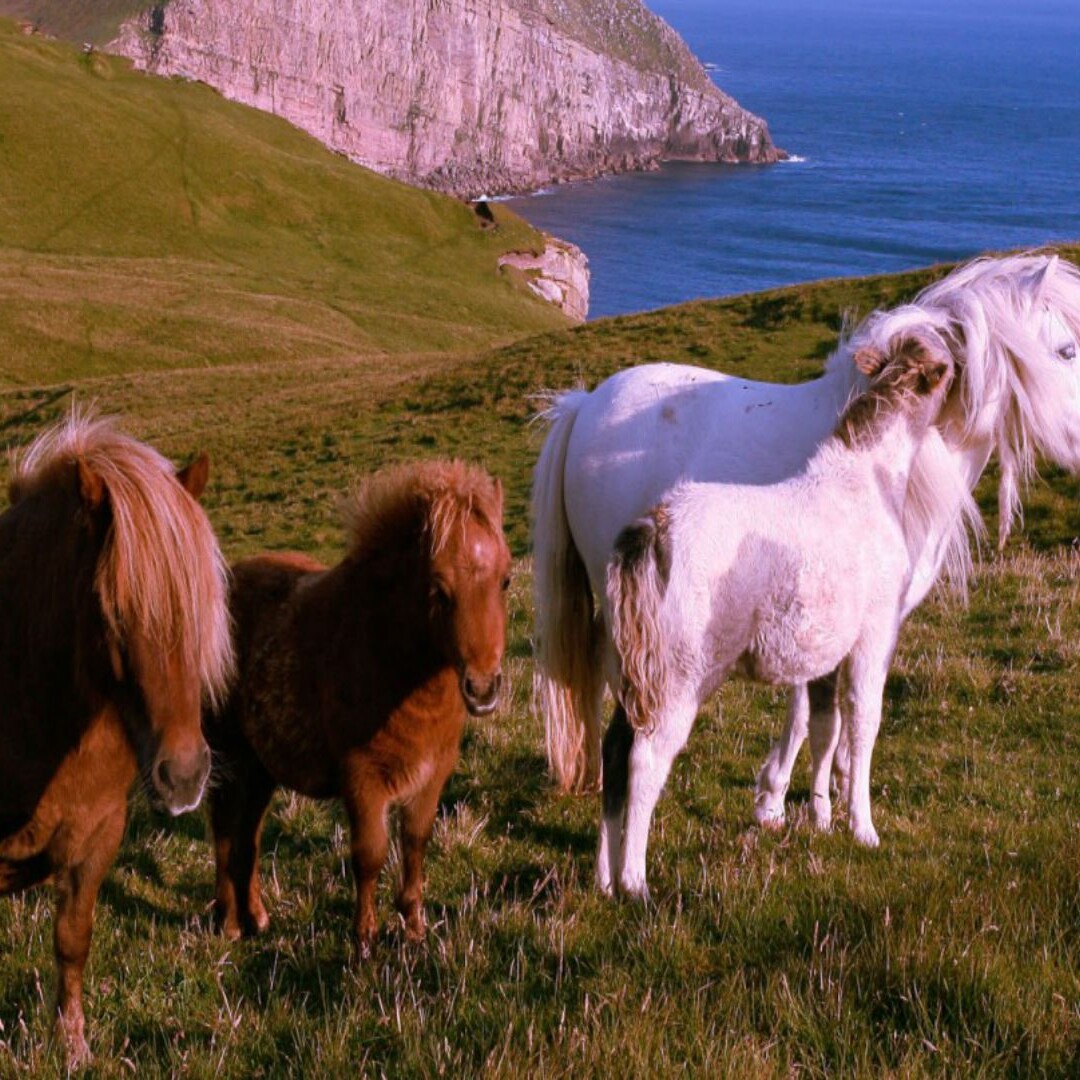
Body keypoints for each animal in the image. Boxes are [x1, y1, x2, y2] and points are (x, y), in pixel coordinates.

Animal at [0, 412, 234, 1066]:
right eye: (110, 610)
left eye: (201, 601)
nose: (184, 776)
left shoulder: (98, 834)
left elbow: (72, 939)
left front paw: (72, 1045)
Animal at [206, 459, 511, 958]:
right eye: (438, 589)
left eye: (505, 580)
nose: (483, 688)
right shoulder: (363, 779)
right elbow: (369, 854)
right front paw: (364, 938)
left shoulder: (432, 775)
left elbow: (414, 844)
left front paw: (413, 928)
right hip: (230, 757)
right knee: (224, 829)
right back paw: (230, 922)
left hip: (260, 767)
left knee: (247, 835)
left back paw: (257, 918)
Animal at [531, 252, 1080, 831]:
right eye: (1067, 351)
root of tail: (585, 405)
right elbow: (814, 714)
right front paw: (781, 802)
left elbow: (826, 717)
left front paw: (822, 795)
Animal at [601, 333, 954, 898]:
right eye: (943, 366)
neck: (867, 480)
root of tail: (655, 527)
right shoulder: (875, 634)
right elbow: (864, 721)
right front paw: (863, 829)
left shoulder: (828, 651)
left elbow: (826, 725)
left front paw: (821, 818)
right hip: (678, 676)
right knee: (644, 760)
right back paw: (634, 883)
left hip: (632, 668)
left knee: (612, 752)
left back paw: (604, 878)